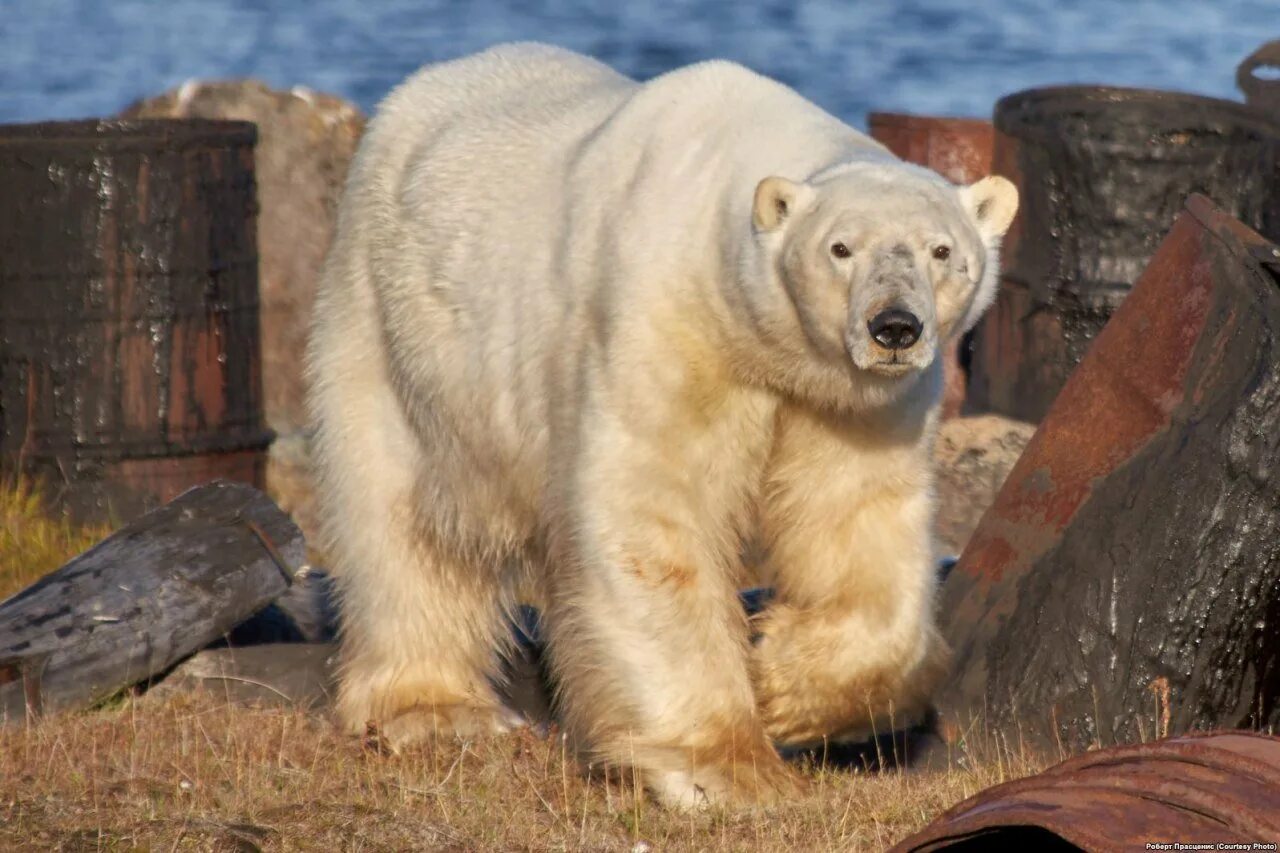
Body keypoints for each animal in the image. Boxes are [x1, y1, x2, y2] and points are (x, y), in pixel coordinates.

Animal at [304, 44, 1013, 804]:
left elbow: (856, 521)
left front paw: (780, 682)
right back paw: (434, 708)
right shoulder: (668, 323)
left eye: (941, 251)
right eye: (841, 248)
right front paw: (727, 769)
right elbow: (652, 514)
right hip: (392, 330)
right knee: (400, 514)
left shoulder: (855, 403)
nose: (895, 327)